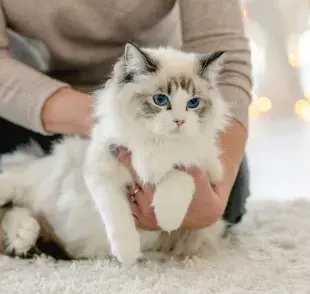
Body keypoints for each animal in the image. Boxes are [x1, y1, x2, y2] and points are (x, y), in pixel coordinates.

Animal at [0, 43, 230, 264]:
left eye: (193, 103)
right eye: (160, 99)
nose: (179, 121)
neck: (156, 144)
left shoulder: (202, 169)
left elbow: (178, 176)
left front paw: (167, 219)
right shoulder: (102, 170)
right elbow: (117, 216)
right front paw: (127, 254)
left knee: (18, 218)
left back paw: (23, 235)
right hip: (41, 175)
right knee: (13, 182)